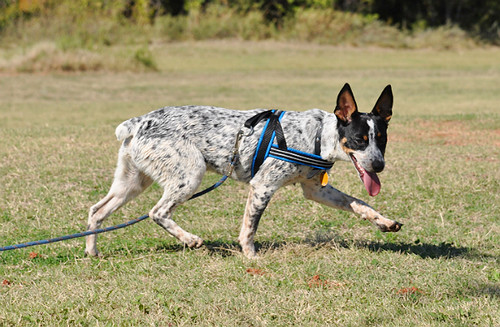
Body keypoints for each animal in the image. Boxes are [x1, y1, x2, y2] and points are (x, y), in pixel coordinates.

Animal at [84, 83, 400, 258]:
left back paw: (92, 251)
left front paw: (384, 222)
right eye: (360, 139)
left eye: (382, 140)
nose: (379, 165)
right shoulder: (262, 187)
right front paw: (251, 257)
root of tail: (138, 122)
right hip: (190, 175)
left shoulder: (316, 191)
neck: (318, 136)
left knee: (97, 211)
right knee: (157, 212)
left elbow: (360, 204)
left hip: (131, 183)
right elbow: (250, 228)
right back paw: (190, 240)